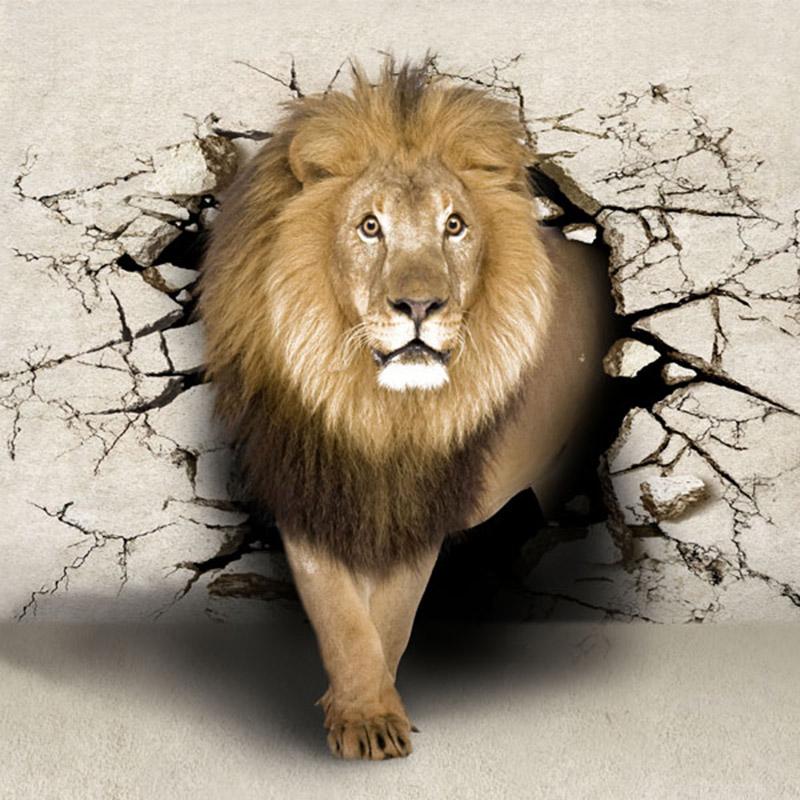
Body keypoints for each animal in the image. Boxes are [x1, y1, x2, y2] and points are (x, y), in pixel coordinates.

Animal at [199, 55, 615, 760]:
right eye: (371, 226)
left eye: (455, 224)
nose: (420, 306)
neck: (376, 411)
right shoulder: (307, 486)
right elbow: (340, 616)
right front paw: (362, 717)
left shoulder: (422, 499)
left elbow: (390, 616)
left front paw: (372, 715)